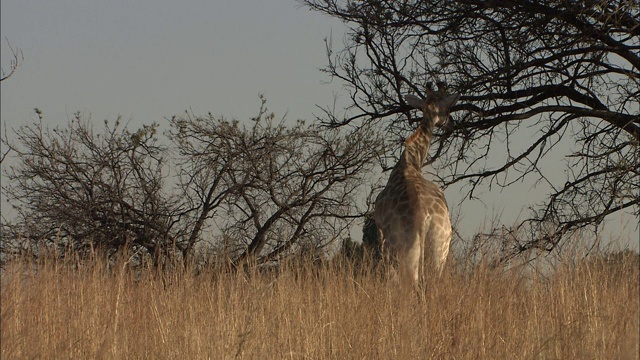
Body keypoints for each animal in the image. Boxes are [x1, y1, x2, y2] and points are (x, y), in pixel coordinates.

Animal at [376, 87, 460, 286]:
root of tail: (423, 217)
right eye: (447, 110)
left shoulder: (380, 233)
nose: (452, 124)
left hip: (405, 251)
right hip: (439, 249)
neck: (411, 162)